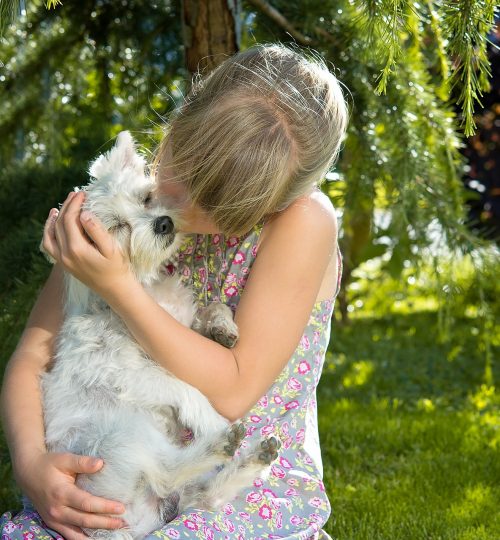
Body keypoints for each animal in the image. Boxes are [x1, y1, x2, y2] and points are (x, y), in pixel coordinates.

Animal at [39, 132, 280, 540]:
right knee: (168, 472)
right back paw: (222, 440)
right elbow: (185, 388)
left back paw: (254, 459)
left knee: (205, 494)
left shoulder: (179, 324)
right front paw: (210, 418)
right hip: (120, 438)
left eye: (146, 198)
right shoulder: (129, 373)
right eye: (117, 227)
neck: (145, 291)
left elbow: (214, 306)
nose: (164, 223)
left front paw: (222, 327)